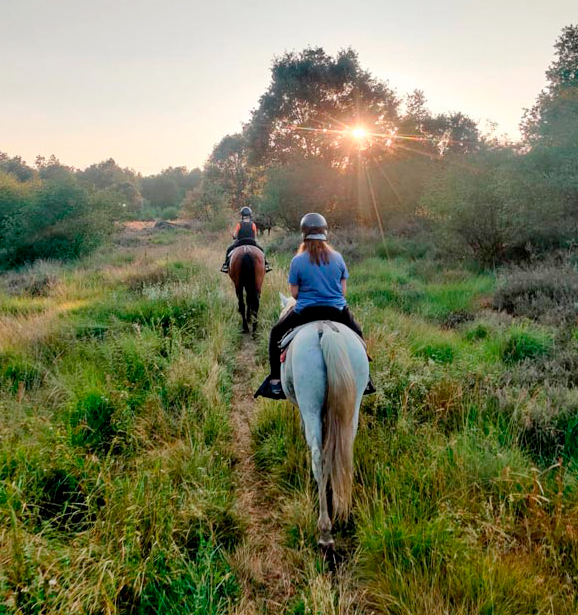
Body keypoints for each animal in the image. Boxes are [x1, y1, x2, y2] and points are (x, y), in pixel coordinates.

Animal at [276, 294, 366, 548]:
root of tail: (325, 330)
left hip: (310, 401)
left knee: (319, 457)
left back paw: (325, 530)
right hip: (353, 404)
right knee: (342, 452)